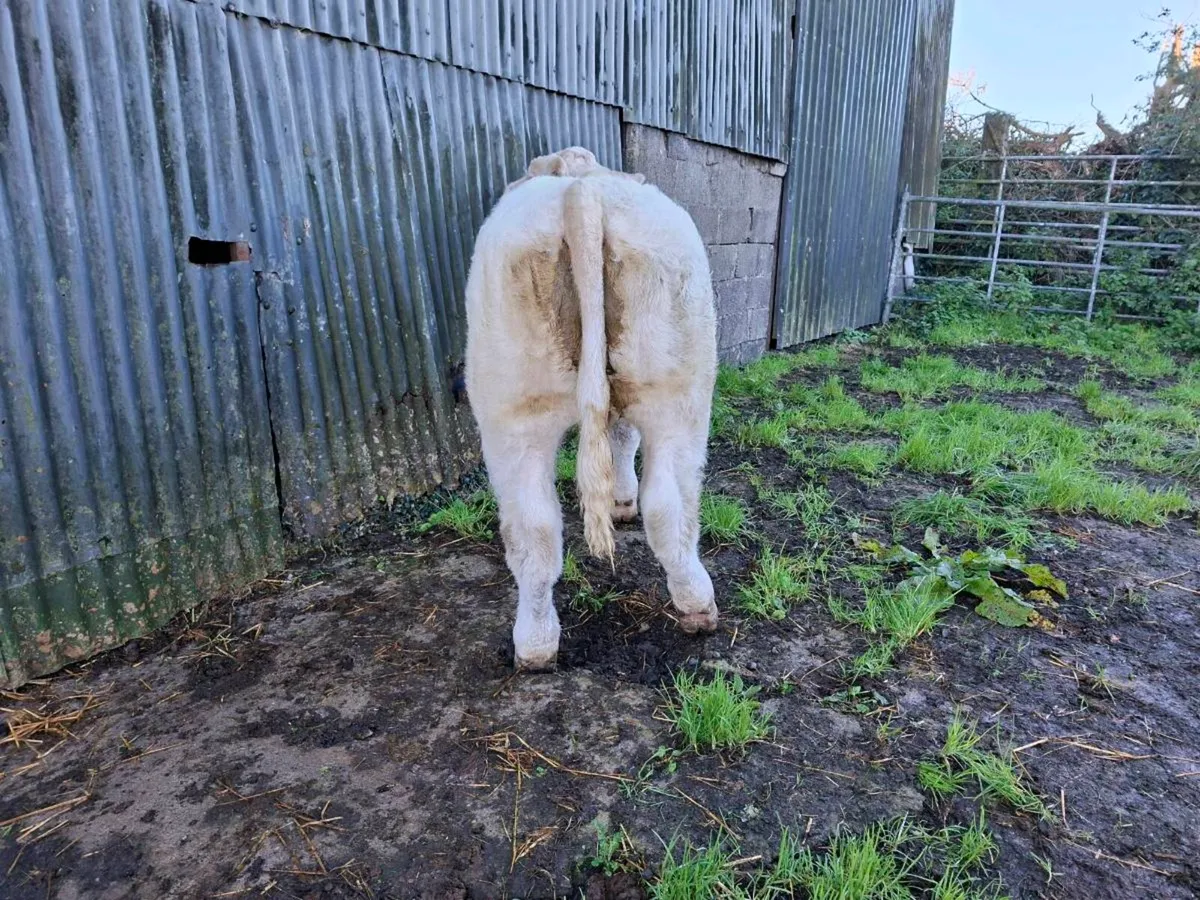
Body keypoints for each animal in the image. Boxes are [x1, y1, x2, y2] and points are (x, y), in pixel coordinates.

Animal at [463, 147, 719, 671]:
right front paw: (621, 501)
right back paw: (698, 602)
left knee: (535, 529)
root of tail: (580, 189)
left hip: (516, 406)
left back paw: (536, 646)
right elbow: (622, 436)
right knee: (670, 506)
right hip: (679, 394)